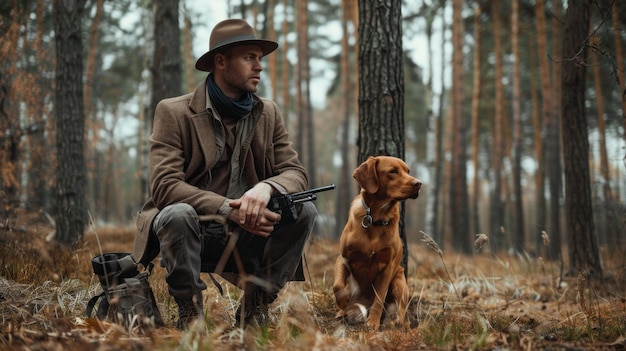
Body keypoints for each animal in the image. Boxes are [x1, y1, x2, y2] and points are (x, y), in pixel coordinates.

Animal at [332, 155, 420, 332]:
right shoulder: (343, 259)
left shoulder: (387, 268)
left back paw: (396, 322)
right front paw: (342, 305)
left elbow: (379, 298)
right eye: (393, 171)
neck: (376, 220)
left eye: (408, 171)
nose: (418, 183)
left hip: (399, 281)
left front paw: (372, 322)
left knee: (401, 309)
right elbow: (337, 286)